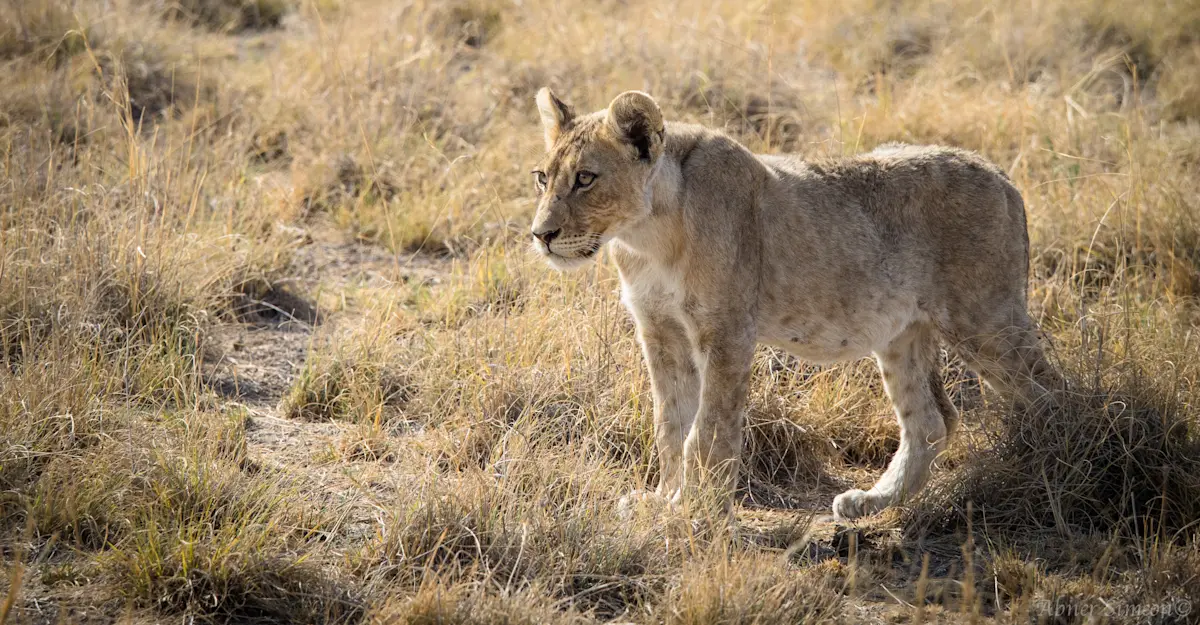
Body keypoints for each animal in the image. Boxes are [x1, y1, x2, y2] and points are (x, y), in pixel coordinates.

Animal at [528, 88, 1063, 520]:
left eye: (585, 178)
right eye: (542, 177)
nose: (541, 235)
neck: (646, 235)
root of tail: (1002, 176)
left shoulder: (726, 332)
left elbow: (708, 431)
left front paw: (696, 513)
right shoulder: (659, 330)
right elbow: (670, 424)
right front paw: (665, 501)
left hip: (986, 320)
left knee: (1051, 395)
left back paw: (1046, 474)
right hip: (902, 334)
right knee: (930, 422)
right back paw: (871, 501)